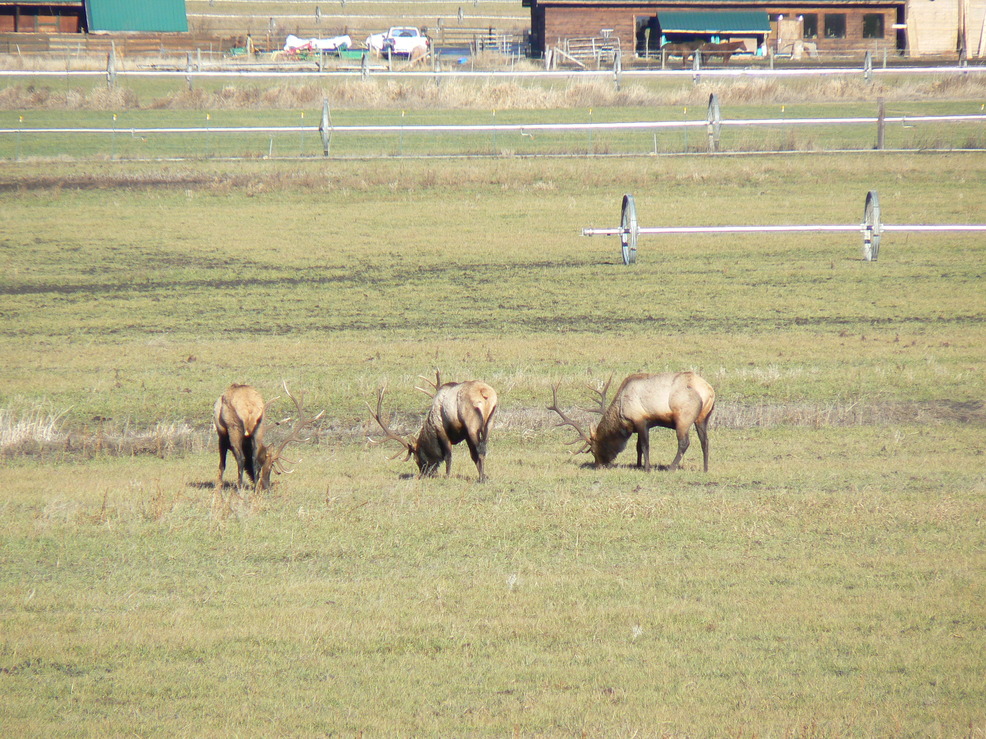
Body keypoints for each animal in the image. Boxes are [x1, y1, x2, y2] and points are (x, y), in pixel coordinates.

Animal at [368, 371, 498, 482]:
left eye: (417, 458)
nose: (423, 475)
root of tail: (484, 392)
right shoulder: (464, 434)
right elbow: (472, 455)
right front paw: (484, 475)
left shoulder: (442, 429)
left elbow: (448, 455)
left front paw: (447, 476)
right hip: (490, 422)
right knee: (483, 448)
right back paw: (483, 477)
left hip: (471, 424)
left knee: (480, 450)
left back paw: (481, 479)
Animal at [548, 371, 715, 473]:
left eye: (594, 451)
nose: (599, 466)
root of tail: (708, 390)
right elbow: (638, 447)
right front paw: (638, 465)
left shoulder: (641, 420)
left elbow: (645, 445)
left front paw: (647, 468)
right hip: (703, 417)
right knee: (705, 441)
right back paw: (706, 468)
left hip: (683, 417)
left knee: (684, 442)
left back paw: (671, 467)